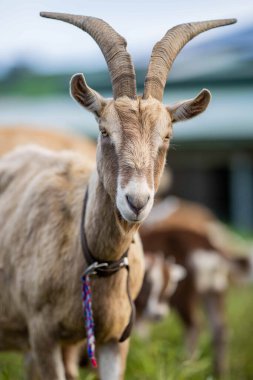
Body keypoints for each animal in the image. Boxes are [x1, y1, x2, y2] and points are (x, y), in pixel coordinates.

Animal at [0, 11, 236, 380]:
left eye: (166, 136)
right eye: (104, 130)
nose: (136, 202)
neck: (95, 260)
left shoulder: (116, 339)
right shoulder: (42, 336)